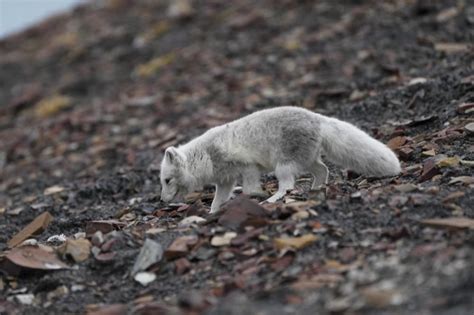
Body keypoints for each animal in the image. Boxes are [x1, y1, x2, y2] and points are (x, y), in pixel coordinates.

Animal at [159, 107, 400, 214]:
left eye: (167, 180)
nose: (161, 200)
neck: (205, 156)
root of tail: (318, 118)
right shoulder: (225, 180)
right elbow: (217, 200)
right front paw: (213, 213)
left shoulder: (247, 167)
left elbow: (249, 187)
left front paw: (255, 195)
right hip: (307, 160)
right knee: (322, 170)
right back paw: (317, 188)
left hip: (283, 165)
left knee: (288, 184)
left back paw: (273, 198)